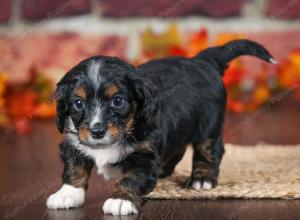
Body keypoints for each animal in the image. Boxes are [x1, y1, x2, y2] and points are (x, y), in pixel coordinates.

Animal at [46, 39, 274, 215]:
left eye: (117, 101)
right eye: (78, 103)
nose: (97, 132)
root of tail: (202, 60)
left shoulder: (145, 155)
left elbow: (131, 178)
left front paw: (121, 200)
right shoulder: (74, 142)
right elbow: (75, 169)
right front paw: (66, 195)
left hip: (209, 125)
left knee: (209, 150)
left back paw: (202, 179)